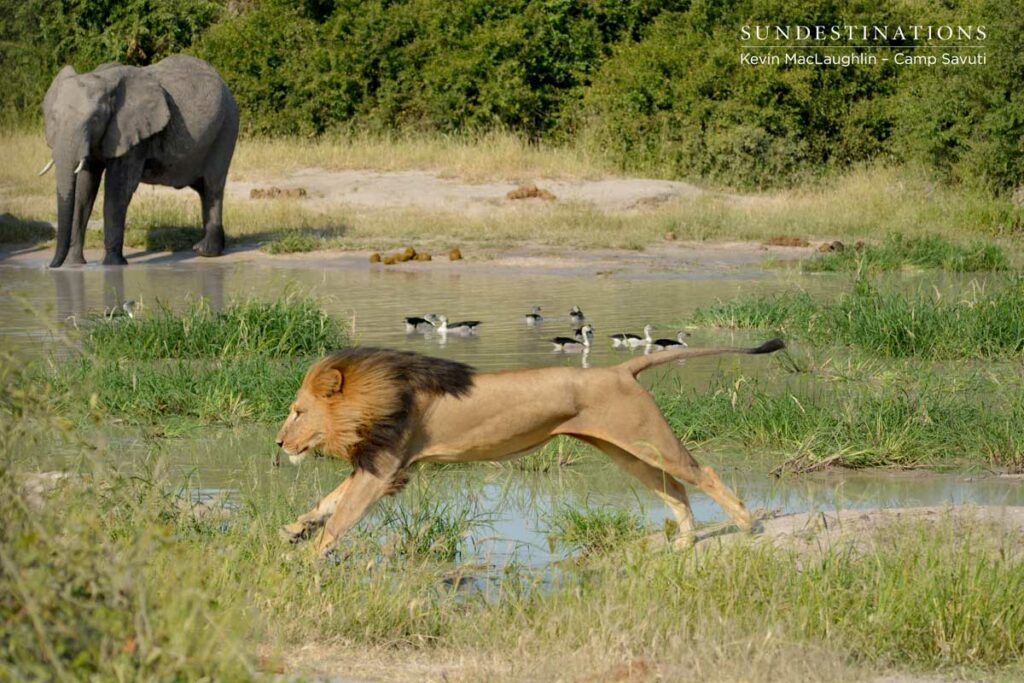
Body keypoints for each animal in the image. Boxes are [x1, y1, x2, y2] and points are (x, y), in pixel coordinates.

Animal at [40, 54, 239, 267]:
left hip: (226, 128)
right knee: (202, 188)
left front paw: (113, 264)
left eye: (94, 120)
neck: (103, 79)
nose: (50, 266)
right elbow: (84, 189)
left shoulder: (130, 135)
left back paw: (206, 252)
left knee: (212, 187)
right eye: (53, 118)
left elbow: (117, 189)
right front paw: (74, 264)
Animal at [276, 339, 785, 557]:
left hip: (648, 440)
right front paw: (295, 529)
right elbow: (329, 501)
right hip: (626, 450)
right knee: (673, 489)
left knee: (703, 475)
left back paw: (746, 525)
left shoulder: (383, 467)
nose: (279, 442)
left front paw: (307, 559)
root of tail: (620, 369)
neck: (378, 394)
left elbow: (341, 517)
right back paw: (684, 541)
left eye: (298, 411)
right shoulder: (379, 465)